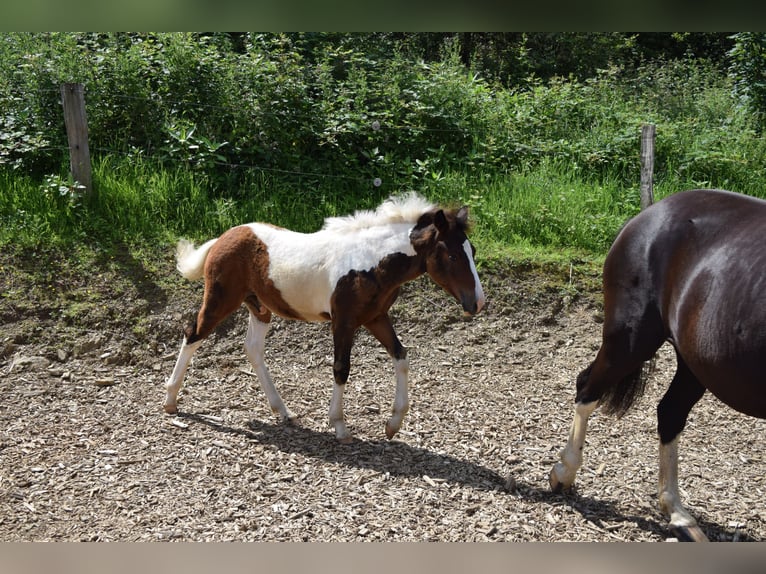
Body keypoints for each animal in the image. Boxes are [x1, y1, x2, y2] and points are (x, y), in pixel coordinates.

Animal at [164, 195, 486, 446]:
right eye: (452, 256)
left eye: (472, 251)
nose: (478, 303)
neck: (370, 262)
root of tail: (224, 237)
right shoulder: (343, 321)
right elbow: (341, 368)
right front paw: (340, 427)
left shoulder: (375, 317)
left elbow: (401, 355)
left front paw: (393, 425)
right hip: (221, 300)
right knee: (192, 334)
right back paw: (170, 401)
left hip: (260, 308)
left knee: (252, 348)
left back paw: (282, 411)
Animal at [552, 190, 766, 544]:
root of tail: (650, 214)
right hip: (631, 341)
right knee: (587, 389)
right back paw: (563, 474)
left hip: (693, 362)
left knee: (669, 413)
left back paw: (679, 516)